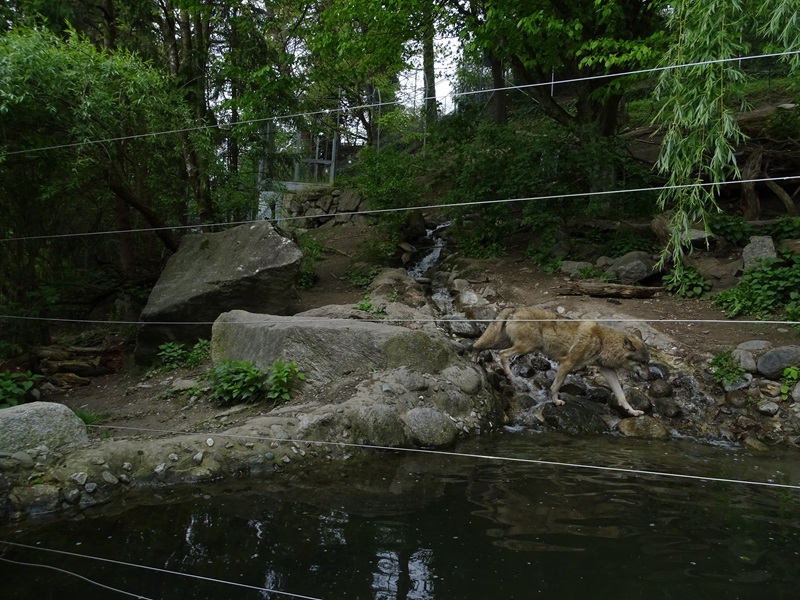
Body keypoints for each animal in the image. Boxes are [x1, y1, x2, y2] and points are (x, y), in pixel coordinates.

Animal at [472, 306, 650, 417]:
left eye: (647, 362)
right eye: (642, 363)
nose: (650, 377)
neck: (603, 342)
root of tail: (514, 309)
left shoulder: (608, 371)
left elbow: (621, 396)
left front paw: (633, 412)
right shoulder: (567, 363)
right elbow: (555, 386)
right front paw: (556, 401)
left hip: (505, 343)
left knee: (477, 345)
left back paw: (475, 360)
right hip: (527, 346)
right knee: (502, 354)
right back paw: (510, 376)